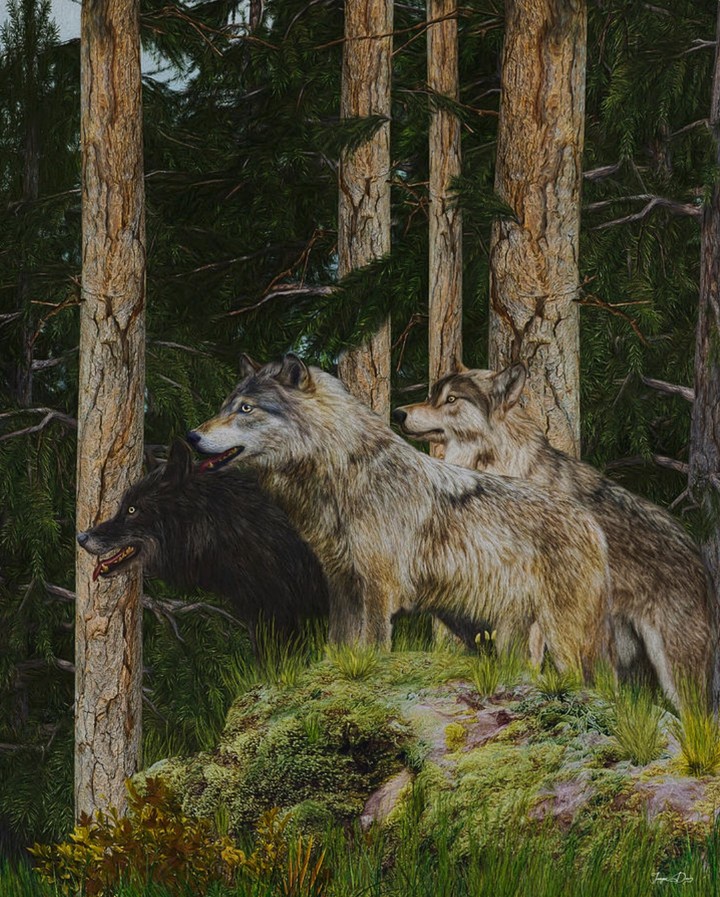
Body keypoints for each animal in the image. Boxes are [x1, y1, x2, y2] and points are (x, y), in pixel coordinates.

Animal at [187, 354, 612, 677]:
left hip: (561, 636)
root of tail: (588, 518)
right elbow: (338, 643)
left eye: (246, 409)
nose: (190, 436)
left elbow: (375, 643)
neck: (344, 474)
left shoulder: (379, 583)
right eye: (225, 406)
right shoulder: (342, 581)